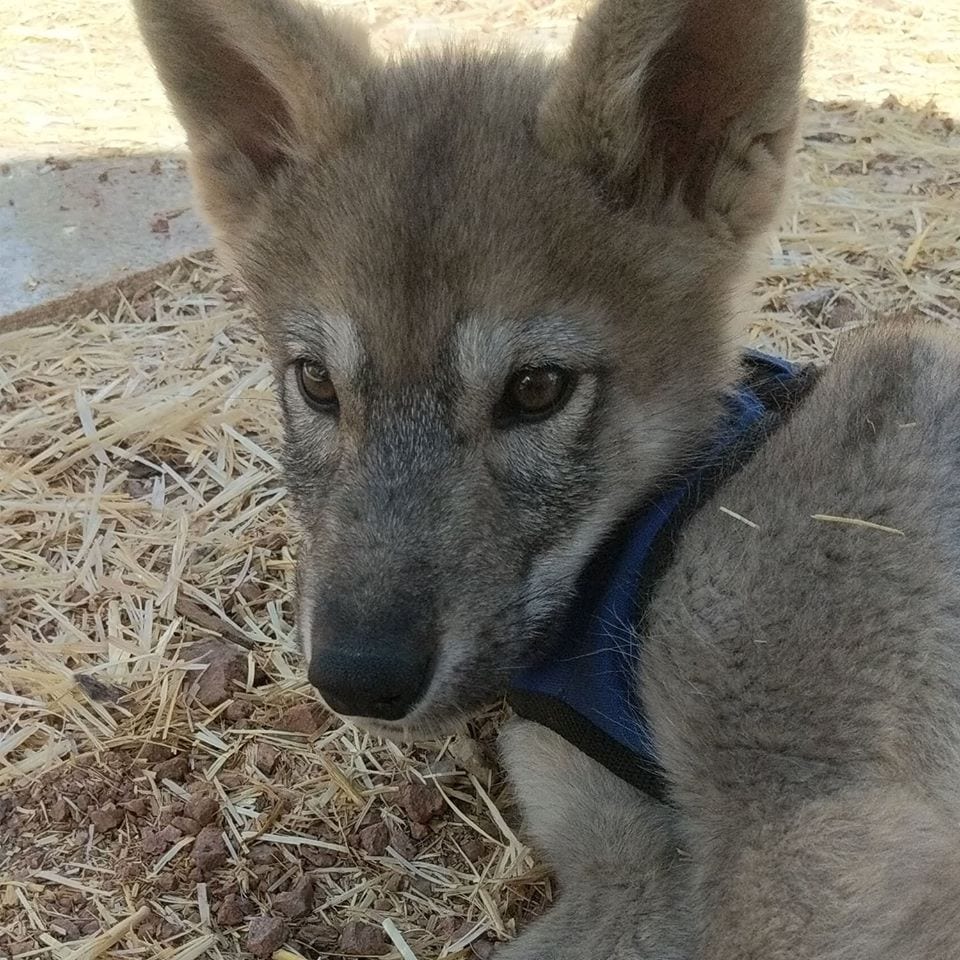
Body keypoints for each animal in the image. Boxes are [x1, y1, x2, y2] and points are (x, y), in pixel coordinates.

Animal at [134, 0, 960, 955]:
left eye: (536, 389)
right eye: (315, 383)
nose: (357, 678)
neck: (669, 517)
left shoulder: (801, 850)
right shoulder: (623, 849)